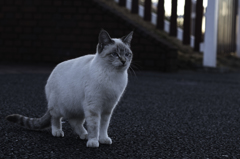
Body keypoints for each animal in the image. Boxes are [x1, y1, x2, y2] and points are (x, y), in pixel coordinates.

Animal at [5, 29, 133, 147]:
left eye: (127, 54)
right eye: (115, 54)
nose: (124, 61)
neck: (113, 75)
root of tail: (53, 71)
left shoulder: (108, 108)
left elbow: (103, 126)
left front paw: (103, 139)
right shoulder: (93, 107)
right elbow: (94, 126)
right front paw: (93, 141)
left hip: (78, 108)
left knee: (75, 123)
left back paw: (84, 135)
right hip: (58, 107)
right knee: (55, 119)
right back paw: (58, 132)